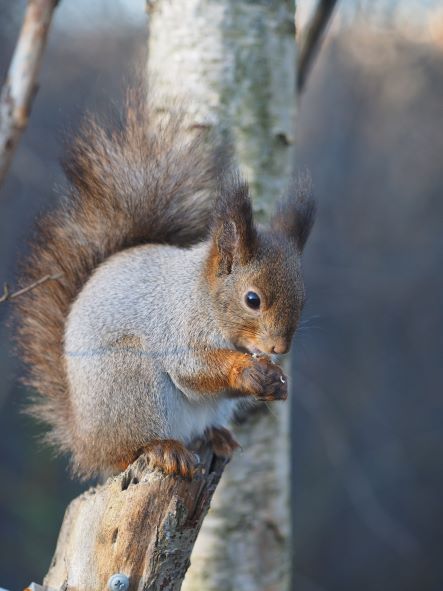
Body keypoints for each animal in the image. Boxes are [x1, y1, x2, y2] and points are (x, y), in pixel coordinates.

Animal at [16, 86, 316, 480]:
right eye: (252, 299)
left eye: (303, 299)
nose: (279, 347)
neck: (204, 297)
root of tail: (85, 441)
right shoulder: (177, 325)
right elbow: (192, 367)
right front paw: (247, 370)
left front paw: (278, 383)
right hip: (130, 379)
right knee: (128, 450)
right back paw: (163, 447)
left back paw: (216, 436)